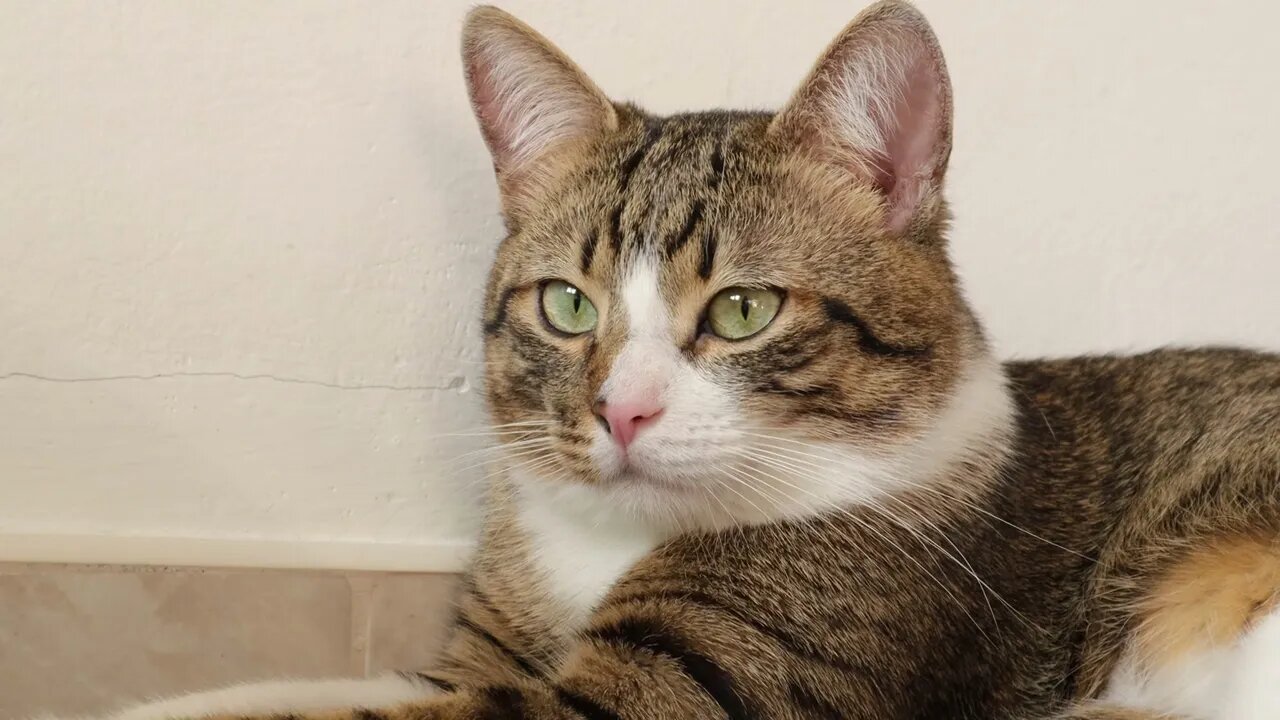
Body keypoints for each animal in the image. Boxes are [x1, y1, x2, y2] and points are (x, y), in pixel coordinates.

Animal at [82, 1, 1280, 717]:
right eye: (567, 304)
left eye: (743, 310)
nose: (621, 412)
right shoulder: (483, 656)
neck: (606, 544)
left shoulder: (697, 681)